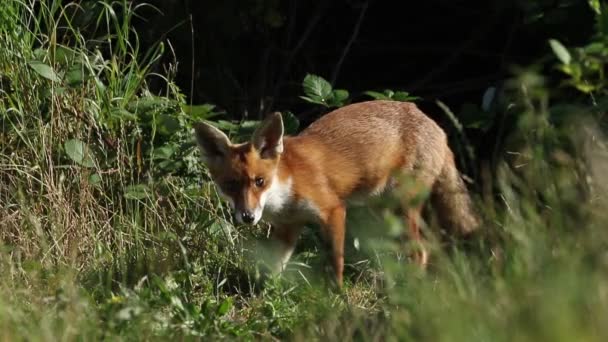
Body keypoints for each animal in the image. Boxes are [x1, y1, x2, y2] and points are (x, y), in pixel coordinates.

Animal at [195, 100, 480, 288]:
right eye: (230, 185)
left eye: (259, 181)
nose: (247, 217)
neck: (286, 191)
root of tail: (438, 128)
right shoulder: (287, 228)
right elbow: (274, 267)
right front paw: (262, 298)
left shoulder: (333, 210)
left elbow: (336, 261)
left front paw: (337, 294)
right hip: (385, 213)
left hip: (401, 208)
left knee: (421, 252)